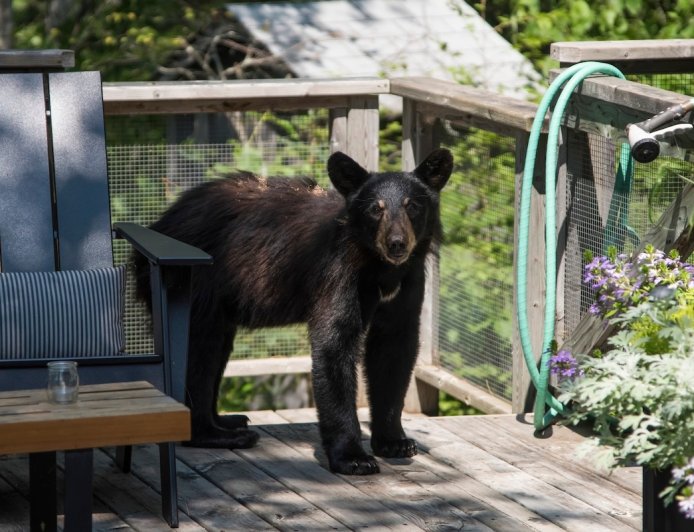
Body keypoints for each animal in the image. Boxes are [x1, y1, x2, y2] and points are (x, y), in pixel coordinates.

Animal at [135, 148, 453, 475]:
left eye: (412, 205)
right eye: (376, 209)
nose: (397, 244)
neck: (381, 268)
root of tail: (161, 222)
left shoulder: (408, 282)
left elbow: (394, 349)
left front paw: (394, 442)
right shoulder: (339, 273)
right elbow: (334, 343)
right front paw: (352, 457)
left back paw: (227, 421)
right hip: (195, 283)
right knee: (199, 352)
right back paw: (217, 434)